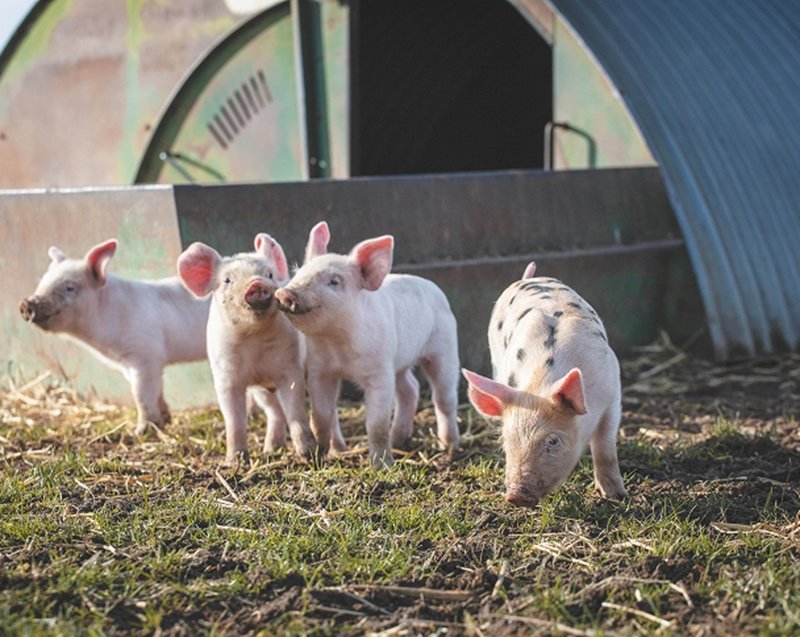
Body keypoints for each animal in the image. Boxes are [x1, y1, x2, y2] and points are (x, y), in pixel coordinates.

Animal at [19, 238, 284, 440]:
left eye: (69, 287)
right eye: (42, 282)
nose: (26, 304)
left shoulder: (145, 356)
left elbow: (141, 394)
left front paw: (141, 431)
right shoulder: (130, 364)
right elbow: (155, 392)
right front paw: (164, 419)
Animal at [177, 233, 317, 464]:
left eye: (269, 274)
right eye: (227, 280)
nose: (257, 283)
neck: (254, 339)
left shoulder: (290, 368)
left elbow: (296, 411)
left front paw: (309, 455)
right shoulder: (226, 377)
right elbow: (234, 419)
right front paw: (235, 461)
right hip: (261, 391)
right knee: (275, 412)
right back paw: (270, 449)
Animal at [274, 221, 460, 468]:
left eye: (334, 281)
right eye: (298, 272)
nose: (285, 293)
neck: (337, 344)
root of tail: (433, 287)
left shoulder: (379, 373)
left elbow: (376, 423)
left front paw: (382, 466)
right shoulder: (320, 371)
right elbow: (321, 416)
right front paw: (319, 456)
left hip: (444, 347)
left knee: (443, 398)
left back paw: (449, 447)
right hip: (398, 364)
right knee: (411, 389)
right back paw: (399, 441)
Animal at [461, 262, 627, 507]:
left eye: (553, 441)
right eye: (506, 439)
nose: (516, 496)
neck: (540, 385)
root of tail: (528, 278)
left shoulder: (613, 394)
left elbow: (605, 447)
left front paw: (616, 496)